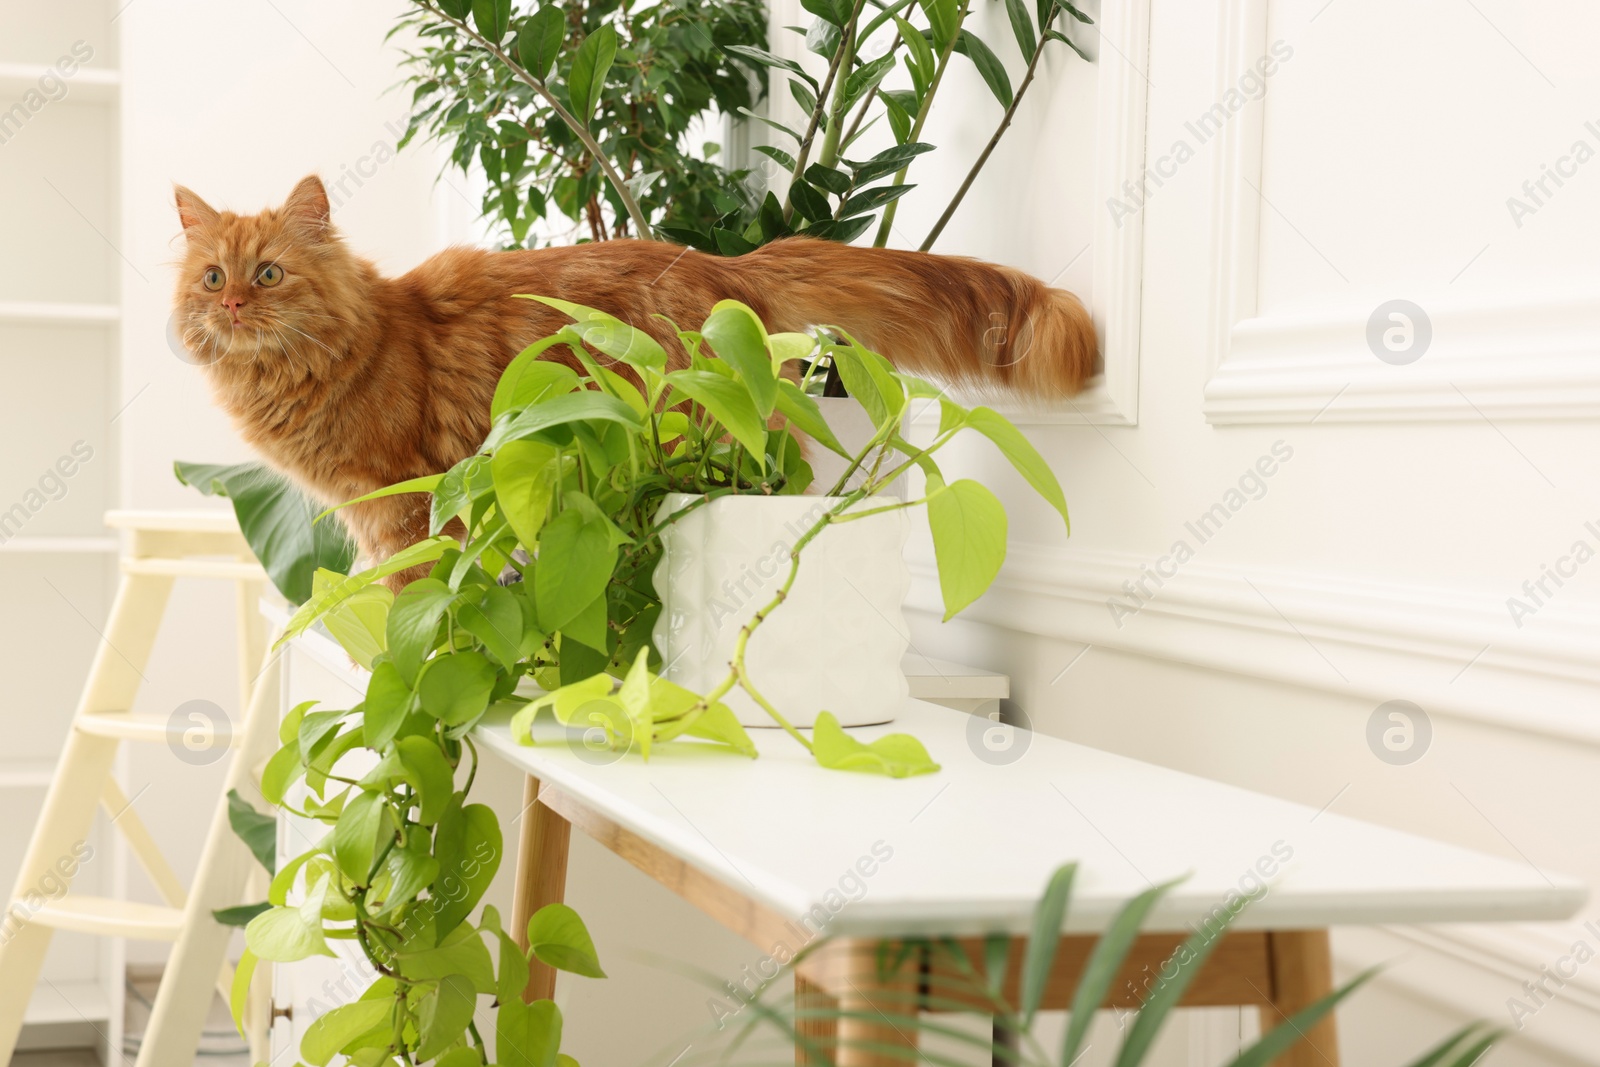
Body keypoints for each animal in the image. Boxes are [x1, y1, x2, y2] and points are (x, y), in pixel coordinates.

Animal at [175, 177, 1100, 575]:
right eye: (213, 278)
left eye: (268, 275)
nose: (232, 308)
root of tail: (731, 261)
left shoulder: (401, 496)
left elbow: (415, 581)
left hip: (714, 433)